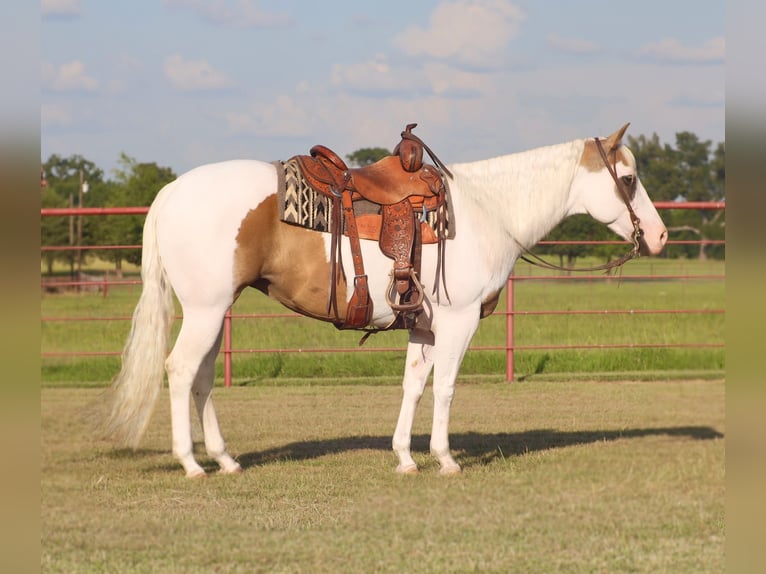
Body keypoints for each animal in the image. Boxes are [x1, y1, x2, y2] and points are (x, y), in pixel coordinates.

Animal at [101, 123, 667, 477]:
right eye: (629, 179)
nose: (660, 236)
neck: (489, 209)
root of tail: (170, 193)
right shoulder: (459, 321)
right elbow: (445, 389)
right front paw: (445, 459)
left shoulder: (423, 324)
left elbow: (413, 386)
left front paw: (406, 458)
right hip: (205, 310)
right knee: (180, 371)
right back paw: (193, 464)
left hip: (215, 313)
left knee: (201, 378)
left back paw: (224, 459)